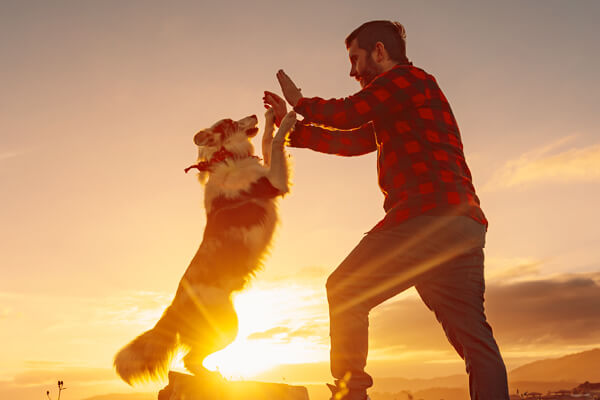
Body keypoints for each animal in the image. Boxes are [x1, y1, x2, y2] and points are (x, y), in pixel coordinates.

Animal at [113, 109, 296, 384]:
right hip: (226, 326)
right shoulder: (274, 181)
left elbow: (267, 140)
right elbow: (274, 143)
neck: (227, 156)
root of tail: (173, 307)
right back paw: (213, 377)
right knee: (190, 360)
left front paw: (270, 115)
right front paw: (288, 118)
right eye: (230, 123)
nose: (253, 113)